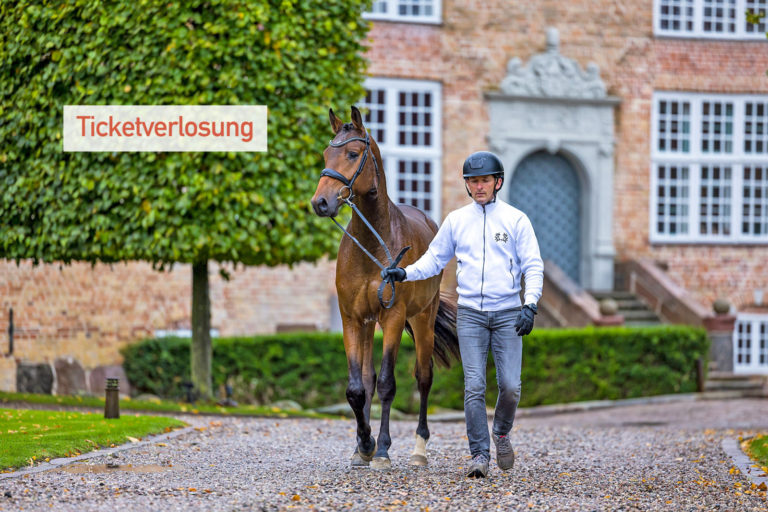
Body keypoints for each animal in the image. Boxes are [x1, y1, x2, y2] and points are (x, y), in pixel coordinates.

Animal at [310, 106, 460, 470]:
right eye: (325, 154)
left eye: (352, 154)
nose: (320, 202)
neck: (371, 245)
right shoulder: (352, 319)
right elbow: (356, 387)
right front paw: (363, 445)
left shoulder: (393, 318)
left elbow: (388, 384)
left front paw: (381, 450)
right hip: (369, 325)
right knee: (366, 380)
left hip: (421, 320)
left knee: (423, 376)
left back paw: (419, 449)